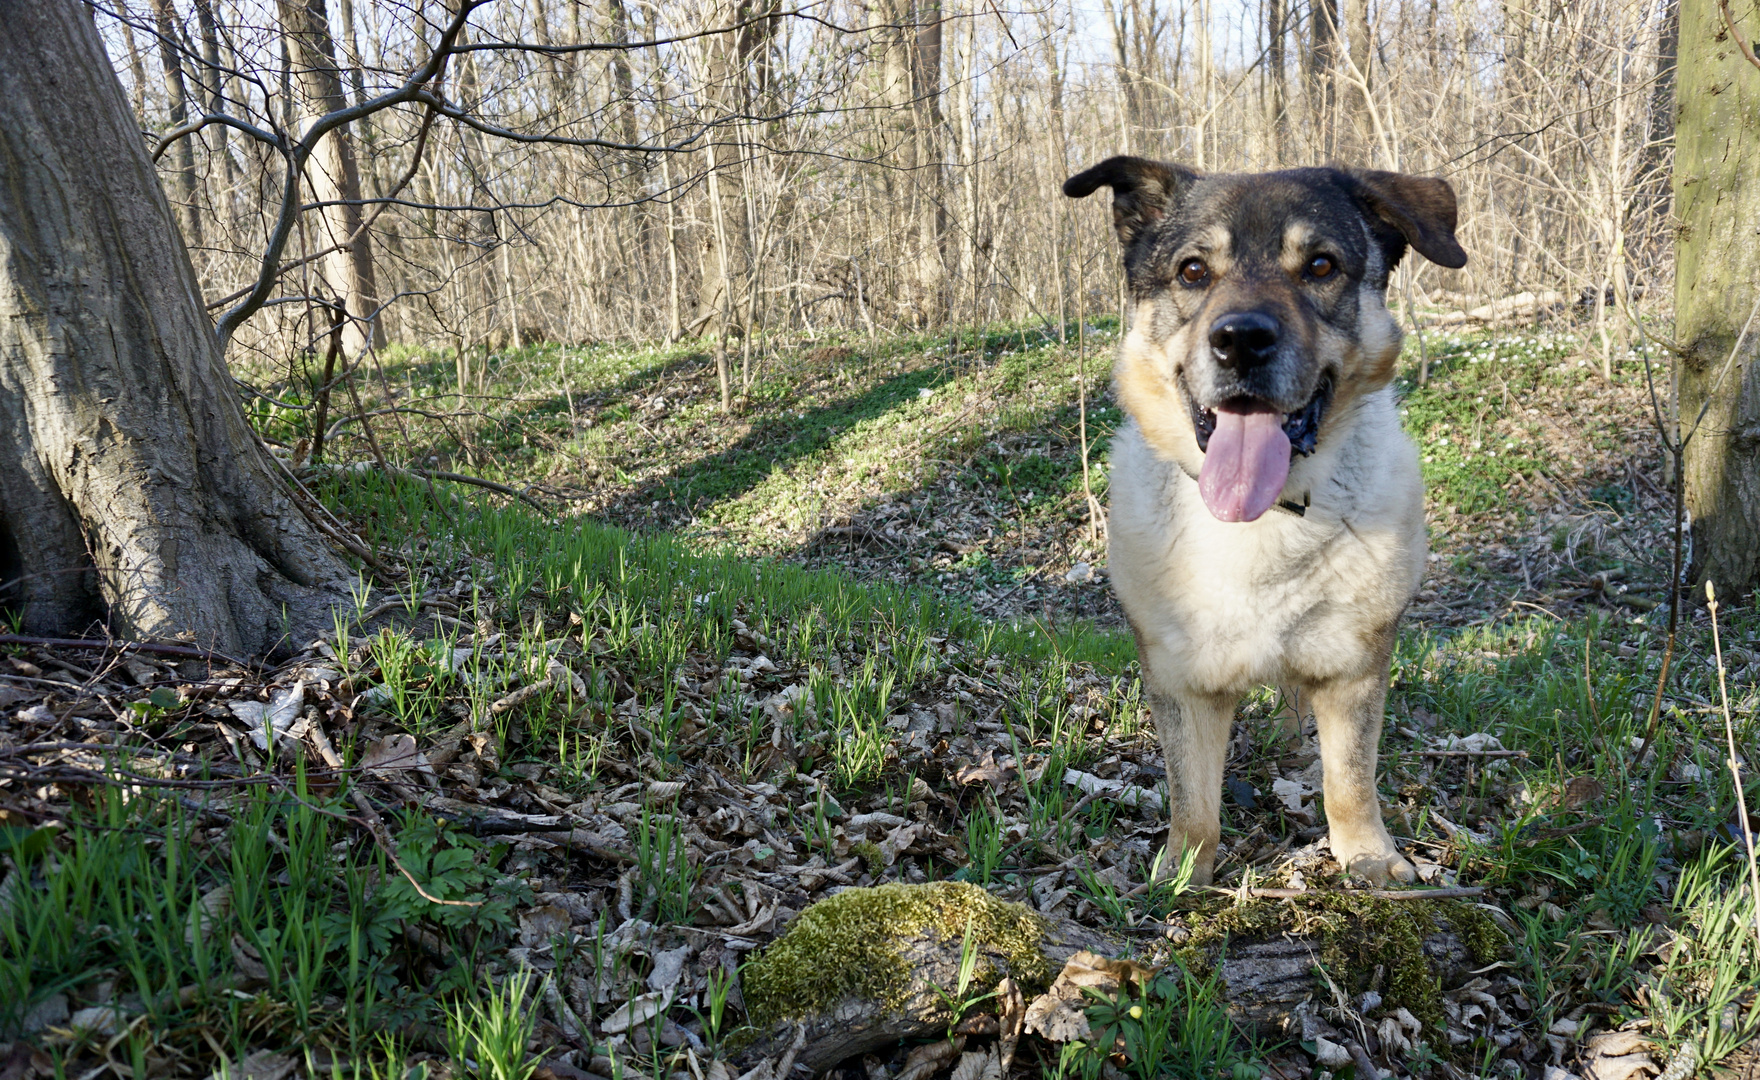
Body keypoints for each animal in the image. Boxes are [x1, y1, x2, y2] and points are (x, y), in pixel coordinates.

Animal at [1063, 160, 1464, 890]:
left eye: (1321, 265)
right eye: (1193, 271)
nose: (1240, 340)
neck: (1264, 516)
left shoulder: (1353, 670)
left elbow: (1350, 782)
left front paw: (1368, 858)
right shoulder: (1181, 681)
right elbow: (1193, 797)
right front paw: (1183, 876)